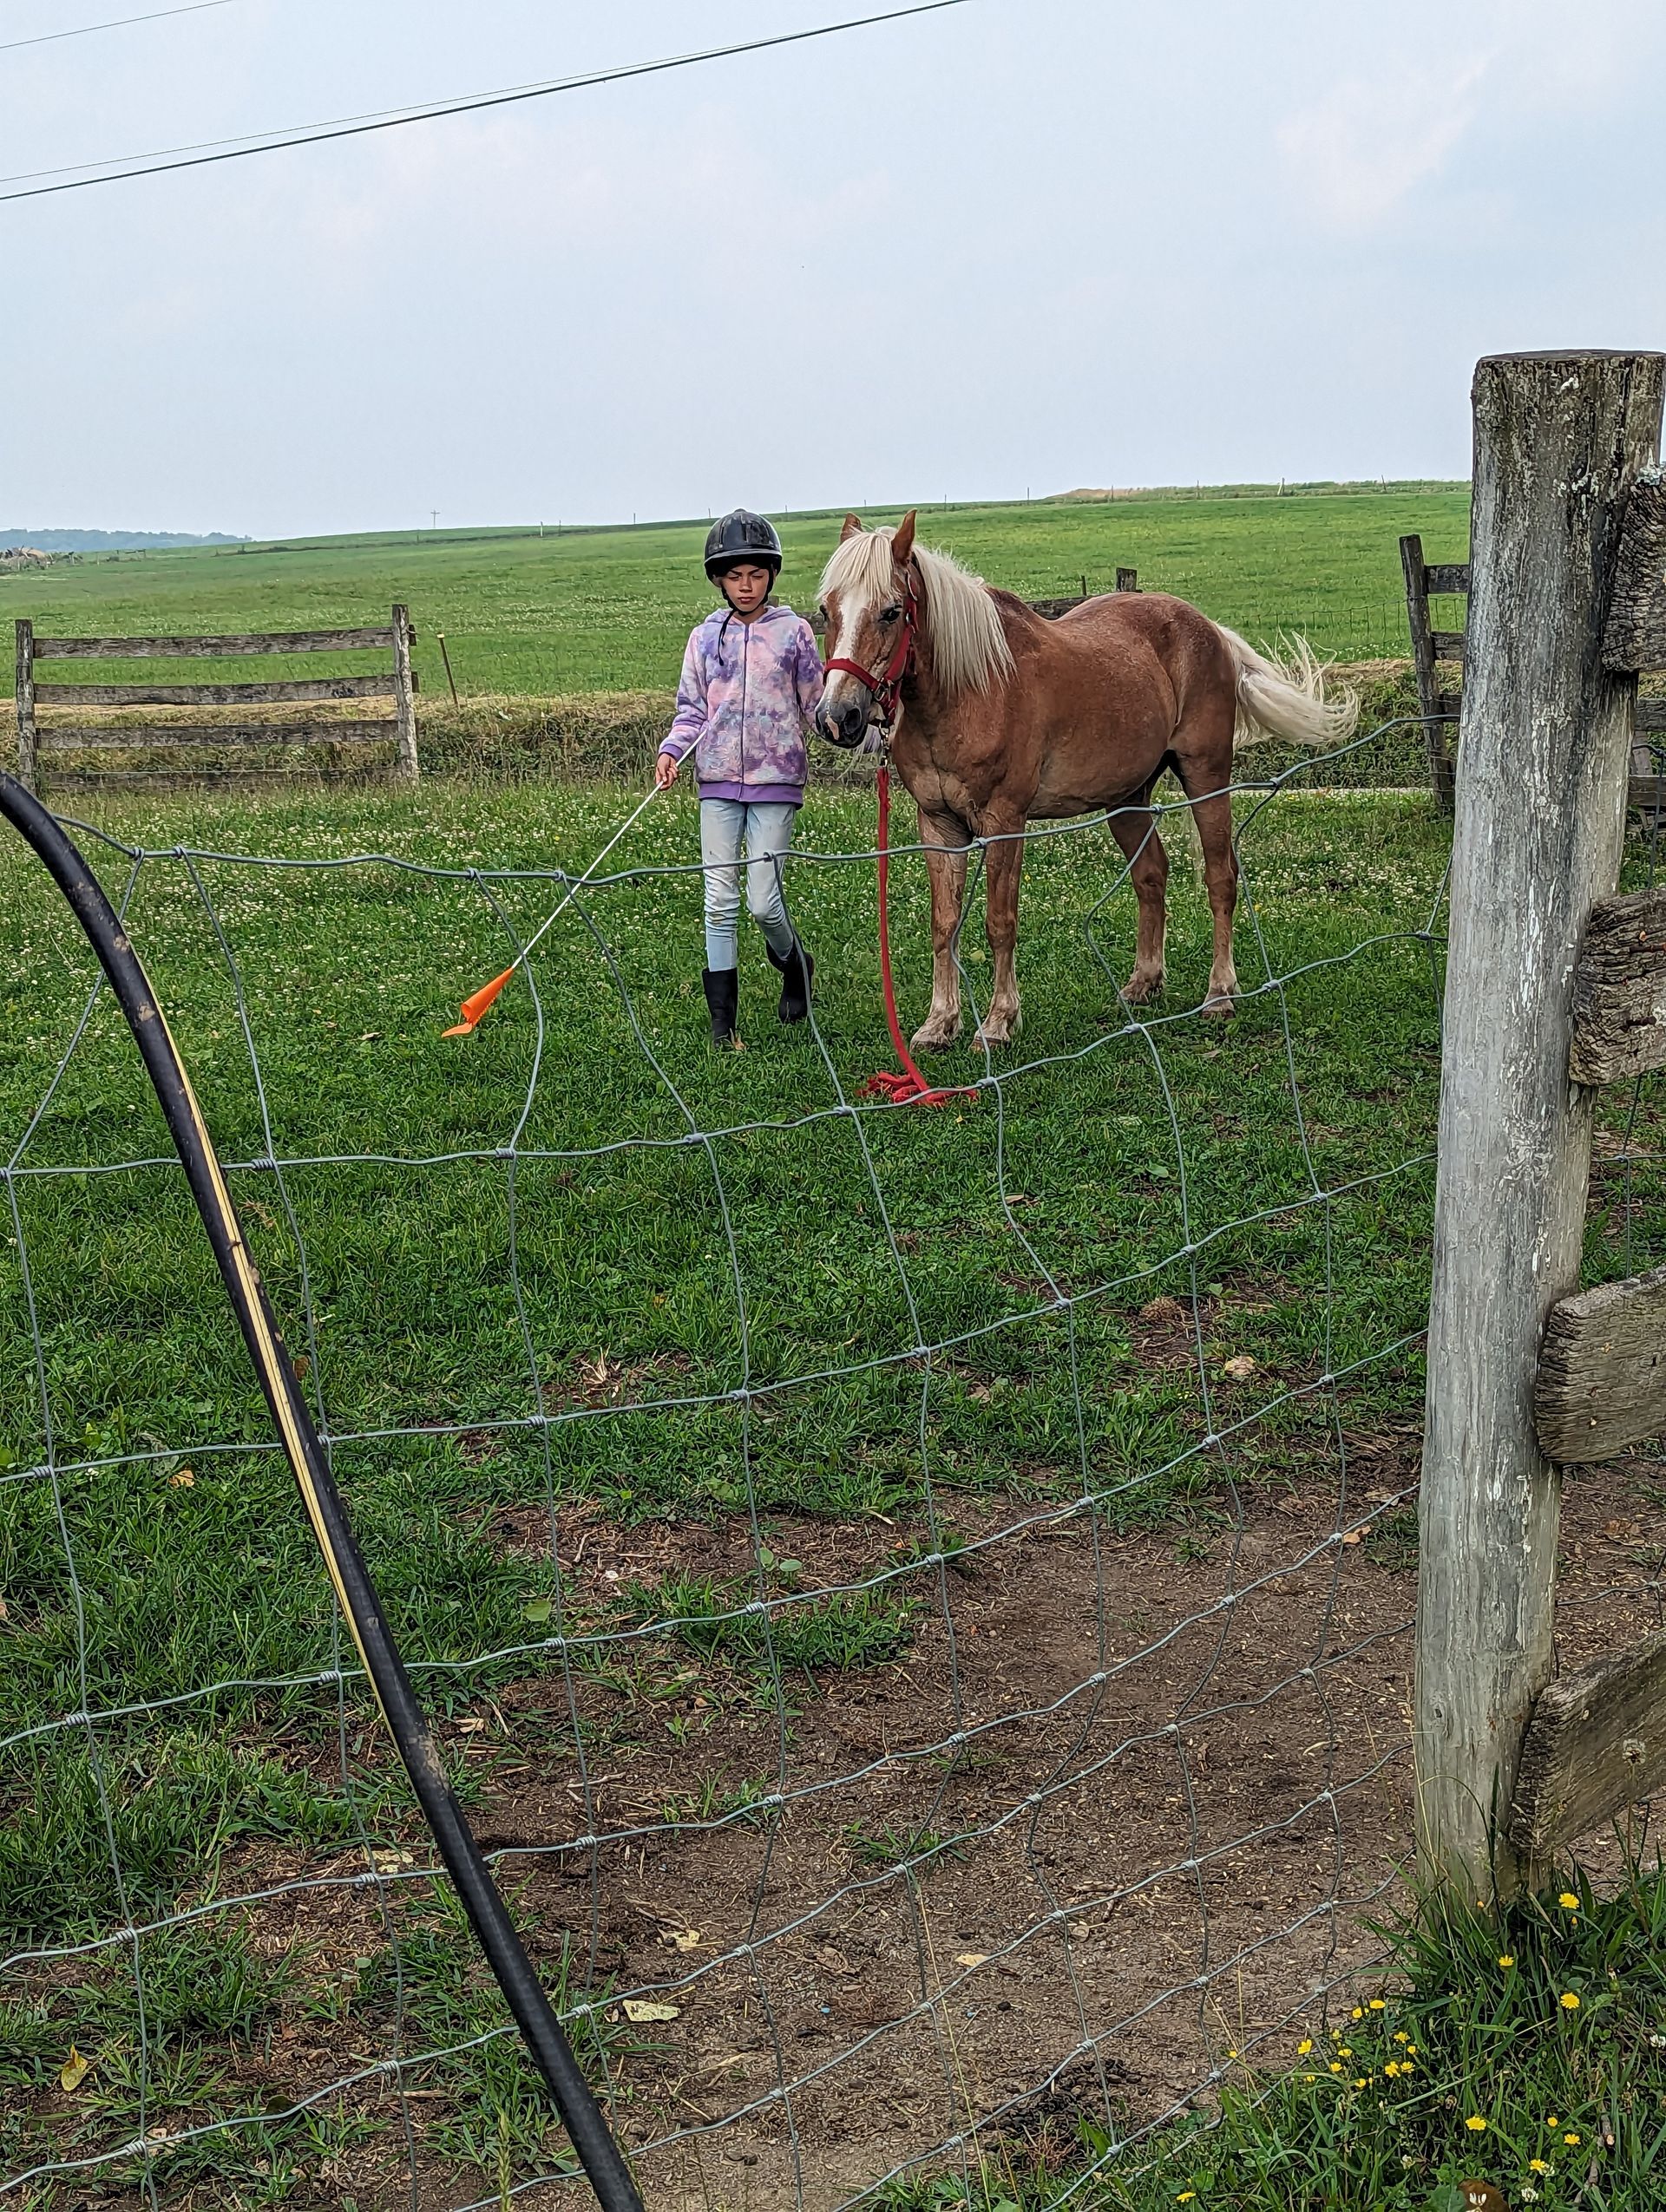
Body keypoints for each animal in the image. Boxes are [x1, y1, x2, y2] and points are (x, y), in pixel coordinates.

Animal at [813, 512, 1357, 1050]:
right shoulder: (939, 825)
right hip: (1127, 799)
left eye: (890, 612)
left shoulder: (1006, 822)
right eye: (826, 609)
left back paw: (1220, 994)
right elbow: (944, 923)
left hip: (1206, 778)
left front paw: (998, 1022)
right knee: (1151, 875)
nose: (837, 716)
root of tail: (1209, 629)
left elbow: (999, 923)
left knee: (1221, 877)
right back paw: (1143, 983)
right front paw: (939, 1023)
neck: (967, 689)